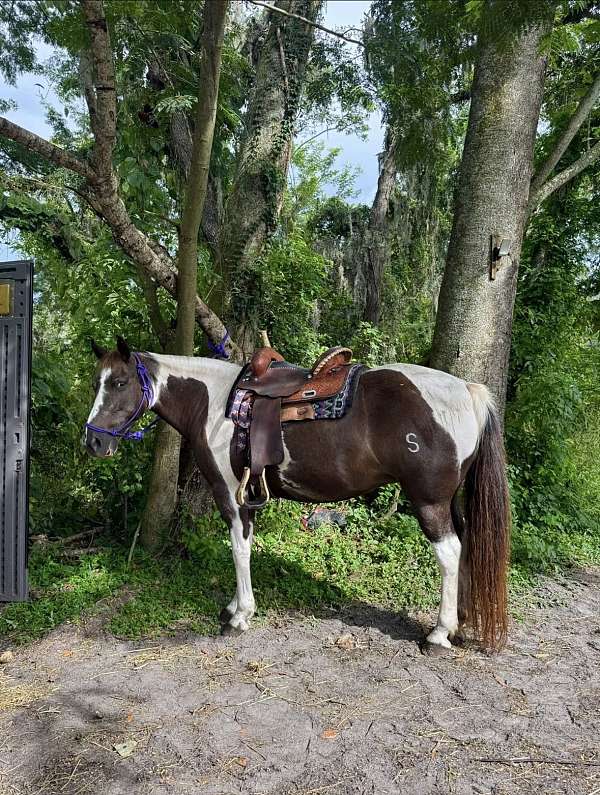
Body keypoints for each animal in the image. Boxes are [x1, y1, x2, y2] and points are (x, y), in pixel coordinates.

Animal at [83, 336, 511, 654]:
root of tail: (466, 390)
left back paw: (438, 635)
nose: (94, 442)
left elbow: (239, 549)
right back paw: (459, 623)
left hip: (429, 501)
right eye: (95, 383)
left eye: (119, 382)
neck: (214, 403)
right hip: (449, 500)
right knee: (465, 545)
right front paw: (235, 607)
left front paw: (240, 615)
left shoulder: (231, 495)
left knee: (449, 552)